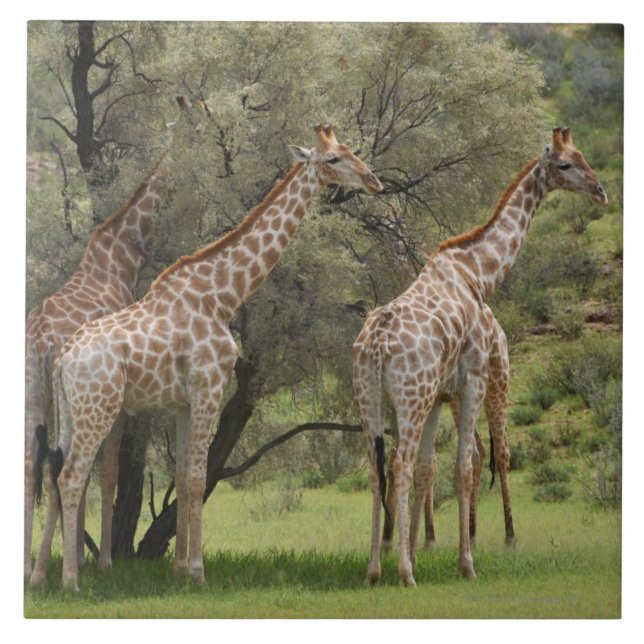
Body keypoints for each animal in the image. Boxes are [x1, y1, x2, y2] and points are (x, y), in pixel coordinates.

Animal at [25, 95, 206, 583]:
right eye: (200, 115)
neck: (124, 253)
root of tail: (42, 338)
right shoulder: (118, 398)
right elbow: (107, 472)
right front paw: (103, 560)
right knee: (60, 467)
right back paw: (53, 570)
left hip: (33, 390)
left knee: (32, 464)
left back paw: (30, 568)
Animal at [36, 124, 382, 592]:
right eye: (333, 159)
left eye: (350, 150)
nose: (372, 180)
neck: (224, 296)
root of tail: (62, 360)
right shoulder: (210, 387)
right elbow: (200, 479)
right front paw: (199, 573)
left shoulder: (184, 402)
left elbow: (184, 478)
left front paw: (180, 570)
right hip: (98, 409)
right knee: (72, 477)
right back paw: (71, 582)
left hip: (71, 413)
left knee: (57, 476)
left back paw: (43, 576)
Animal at [352, 127, 607, 586]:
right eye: (565, 165)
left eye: (583, 156)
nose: (601, 191)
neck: (478, 273)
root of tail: (377, 345)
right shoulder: (472, 379)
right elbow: (465, 467)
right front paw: (465, 563)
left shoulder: (439, 395)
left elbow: (431, 468)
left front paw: (424, 550)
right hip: (411, 397)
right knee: (400, 465)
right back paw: (404, 573)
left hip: (369, 398)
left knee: (377, 470)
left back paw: (374, 570)